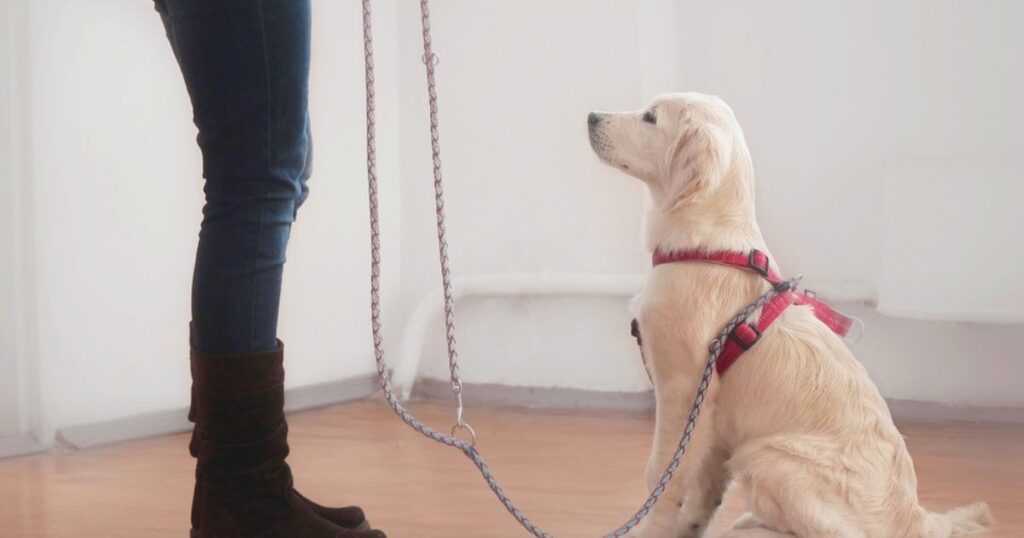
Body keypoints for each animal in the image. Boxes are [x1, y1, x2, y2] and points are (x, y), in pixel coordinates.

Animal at [589, 94, 995, 532]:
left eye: (650, 117)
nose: (591, 116)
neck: (709, 248)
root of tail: (913, 517)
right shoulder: (714, 421)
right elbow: (704, 489)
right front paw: (690, 525)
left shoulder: (683, 390)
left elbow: (663, 474)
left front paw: (652, 524)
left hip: (770, 455)